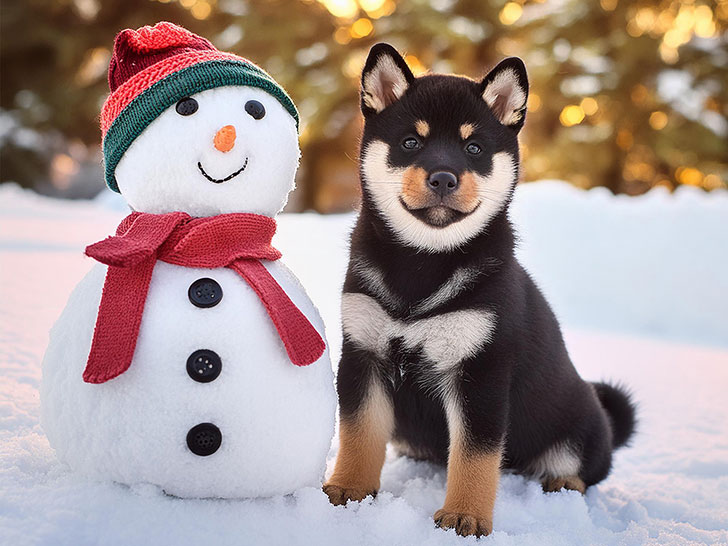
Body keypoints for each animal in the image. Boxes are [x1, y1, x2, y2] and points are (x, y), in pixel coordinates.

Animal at [324, 43, 636, 536]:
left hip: (577, 428)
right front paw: (348, 490)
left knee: (585, 468)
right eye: (411, 142)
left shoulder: (481, 369)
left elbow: (475, 455)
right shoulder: (363, 353)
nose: (443, 177)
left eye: (474, 148)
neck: (423, 263)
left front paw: (464, 515)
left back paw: (563, 483)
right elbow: (359, 434)